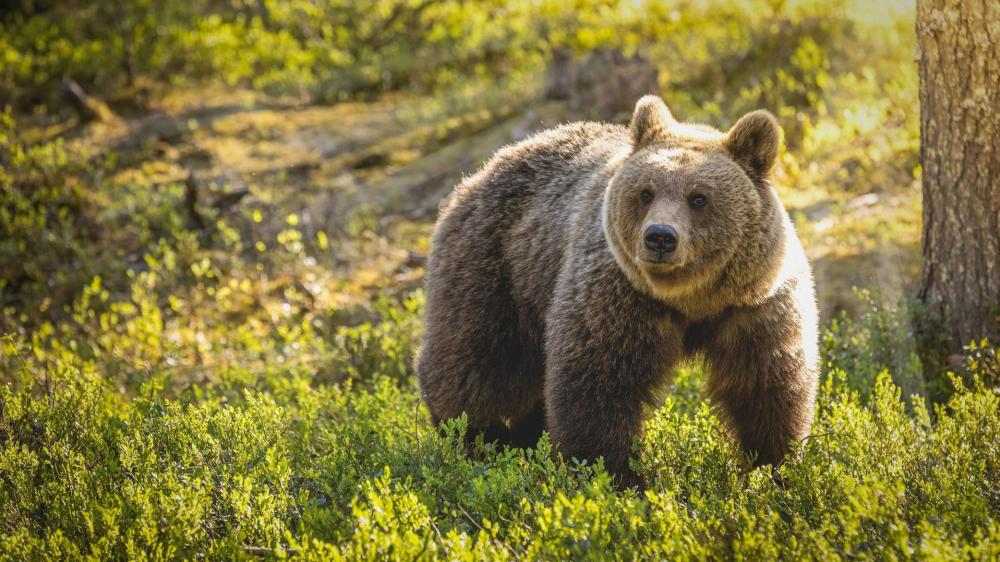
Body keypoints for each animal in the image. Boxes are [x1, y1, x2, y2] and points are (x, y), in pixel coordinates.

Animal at [416, 95, 818, 487]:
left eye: (699, 197)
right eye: (646, 192)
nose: (660, 237)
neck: (691, 299)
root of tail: (486, 167)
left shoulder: (756, 304)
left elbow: (766, 384)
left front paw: (774, 467)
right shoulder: (616, 294)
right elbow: (598, 381)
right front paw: (615, 473)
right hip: (496, 269)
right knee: (478, 363)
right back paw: (481, 439)